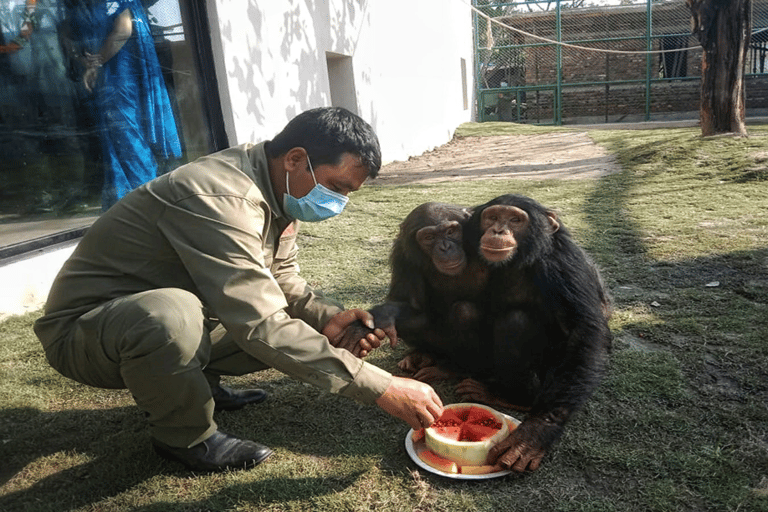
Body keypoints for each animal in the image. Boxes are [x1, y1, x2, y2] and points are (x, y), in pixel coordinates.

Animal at [456, 194, 612, 474]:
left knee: (515, 321)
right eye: (492, 217)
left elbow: (584, 331)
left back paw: (511, 397)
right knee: (464, 309)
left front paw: (537, 431)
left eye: (515, 220)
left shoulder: (564, 264)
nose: (499, 230)